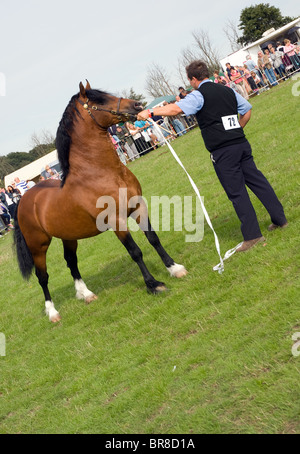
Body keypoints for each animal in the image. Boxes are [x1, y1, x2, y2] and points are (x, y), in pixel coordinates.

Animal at [15, 81, 188, 322]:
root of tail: (24, 200)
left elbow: (153, 239)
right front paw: (153, 284)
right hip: (38, 246)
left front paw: (174, 268)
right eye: (100, 100)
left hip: (69, 236)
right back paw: (53, 313)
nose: (137, 105)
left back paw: (86, 294)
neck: (102, 174)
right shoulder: (116, 221)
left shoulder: (139, 207)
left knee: (71, 262)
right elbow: (135, 251)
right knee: (43, 277)